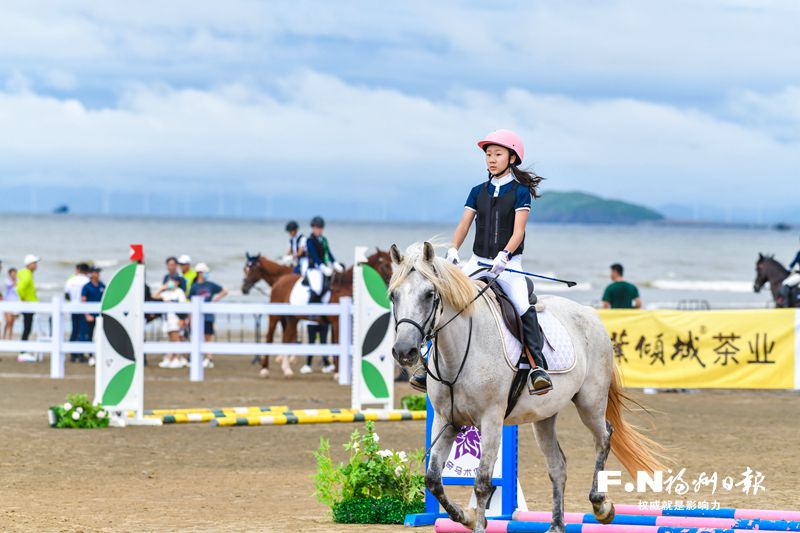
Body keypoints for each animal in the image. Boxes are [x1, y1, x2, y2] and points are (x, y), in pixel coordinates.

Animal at [244, 249, 394, 378]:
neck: (346, 286)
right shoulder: (337, 322)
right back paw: (265, 369)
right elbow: (337, 342)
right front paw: (338, 372)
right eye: (386, 265)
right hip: (275, 317)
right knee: (269, 337)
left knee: (286, 338)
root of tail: (280, 281)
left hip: (293, 319)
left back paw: (287, 369)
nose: (244, 287)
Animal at [390, 243, 664, 532]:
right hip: (544, 417)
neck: (459, 350)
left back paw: (601, 506)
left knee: (603, 437)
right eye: (393, 295)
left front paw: (478, 523)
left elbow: (482, 482)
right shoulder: (447, 420)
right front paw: (467, 516)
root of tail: (589, 313)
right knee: (558, 466)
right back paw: (556, 525)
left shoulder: (491, 419)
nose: (404, 351)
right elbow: (433, 479)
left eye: (429, 294)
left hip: (590, 403)